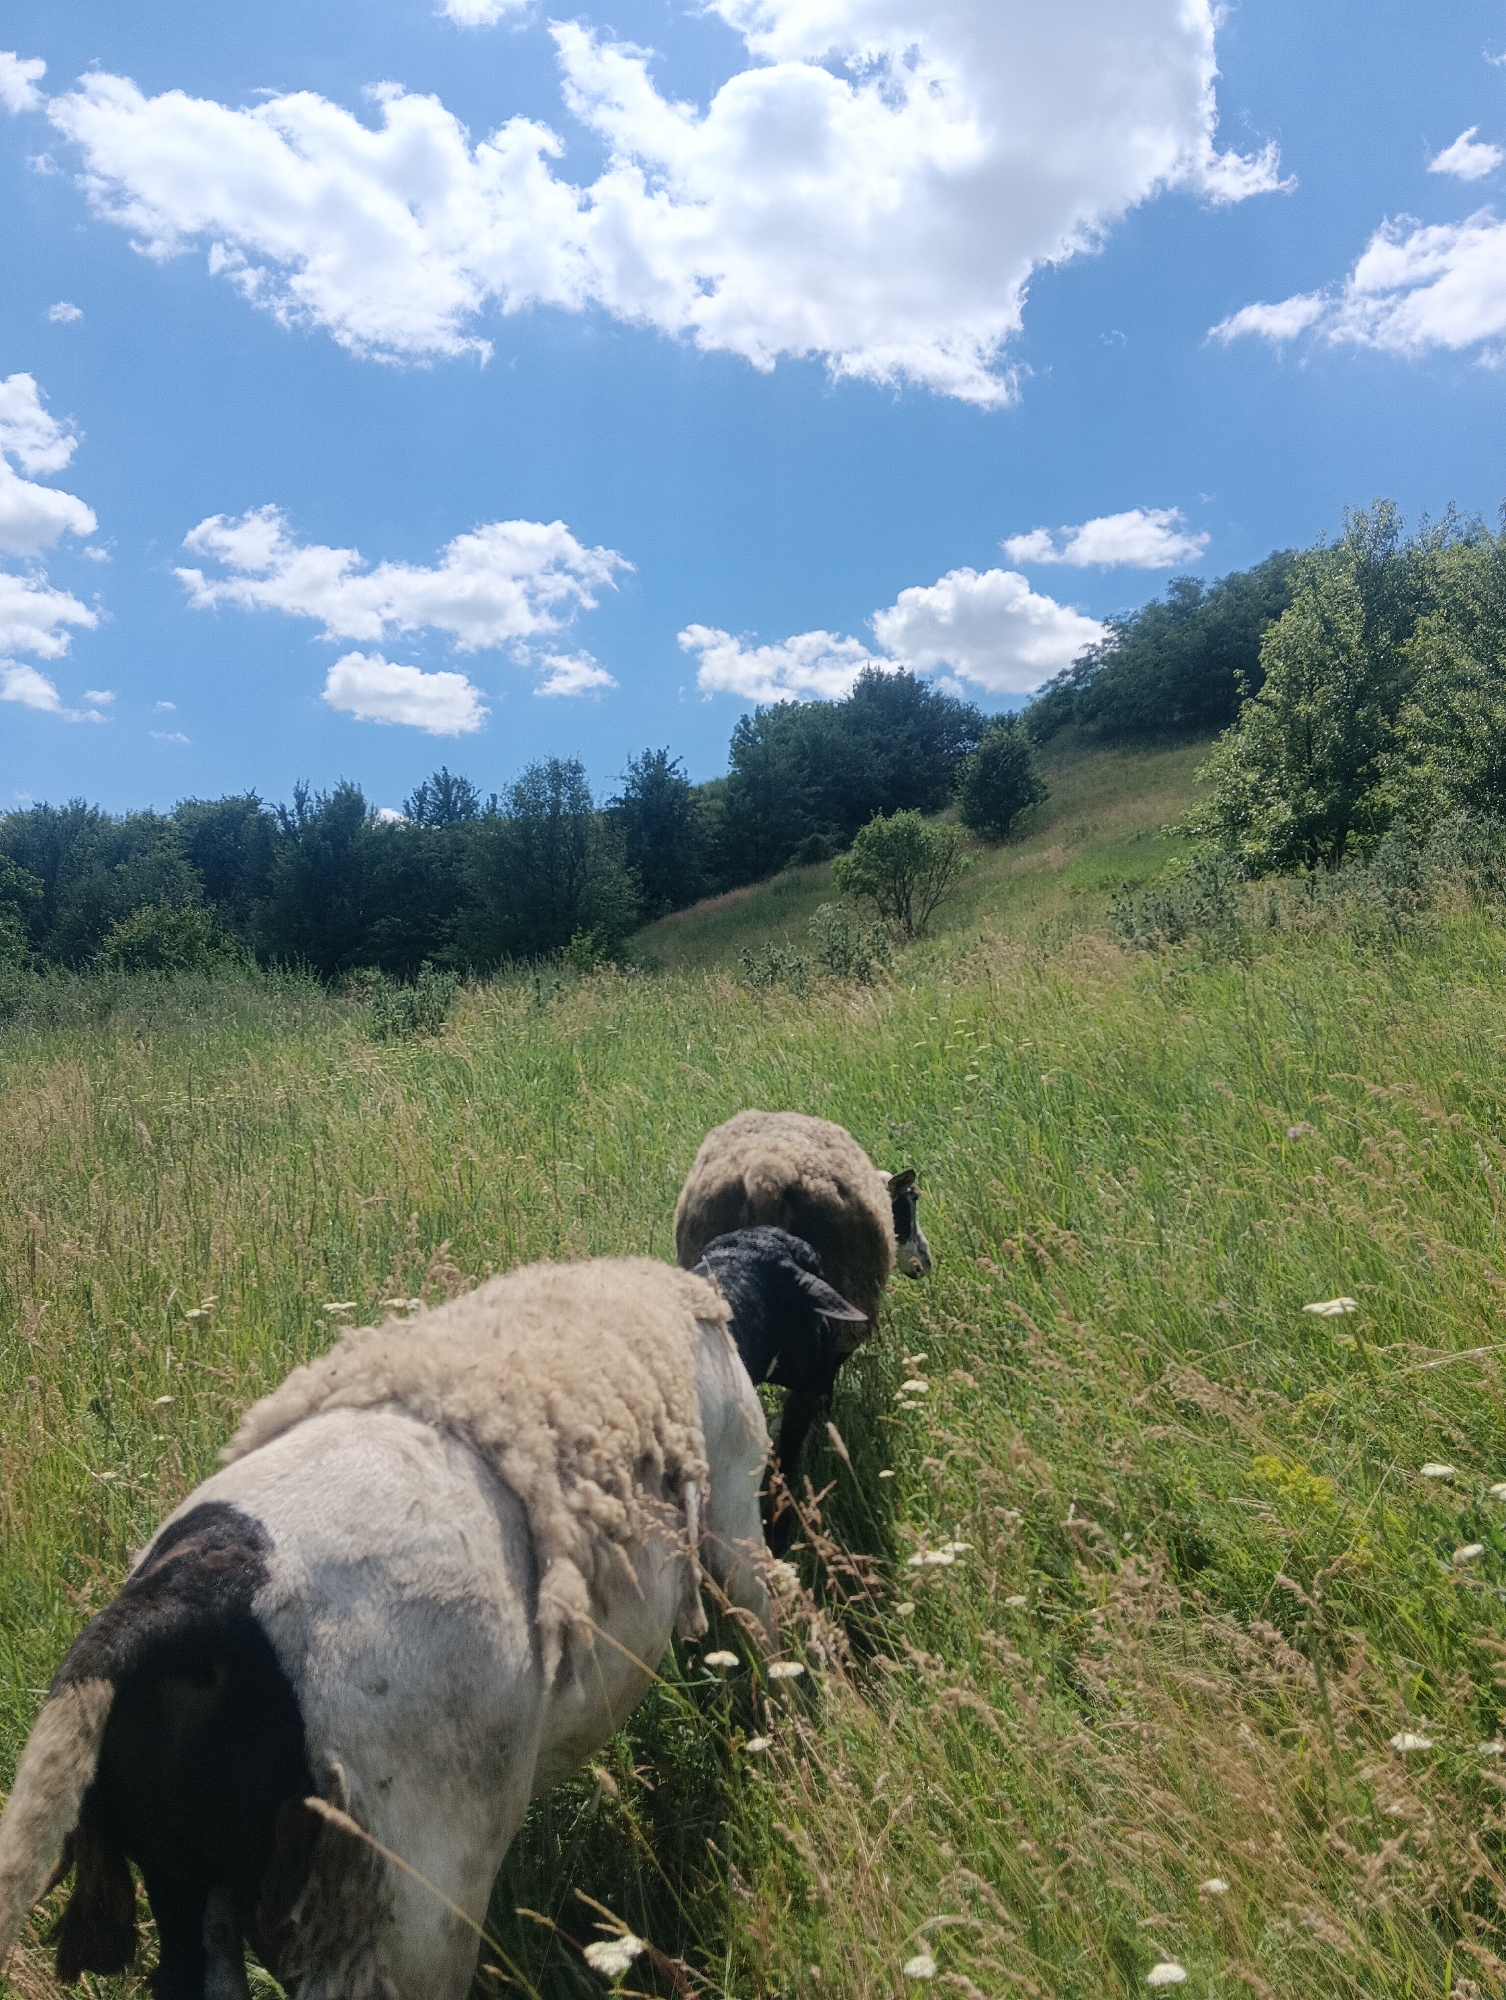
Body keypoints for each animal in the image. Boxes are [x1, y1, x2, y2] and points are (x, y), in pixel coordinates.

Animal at [0, 1234, 857, 2000]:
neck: (719, 1300)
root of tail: (189, 1601)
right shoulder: (735, 1508)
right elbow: (760, 1619)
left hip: (190, 1877)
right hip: (410, 1887)